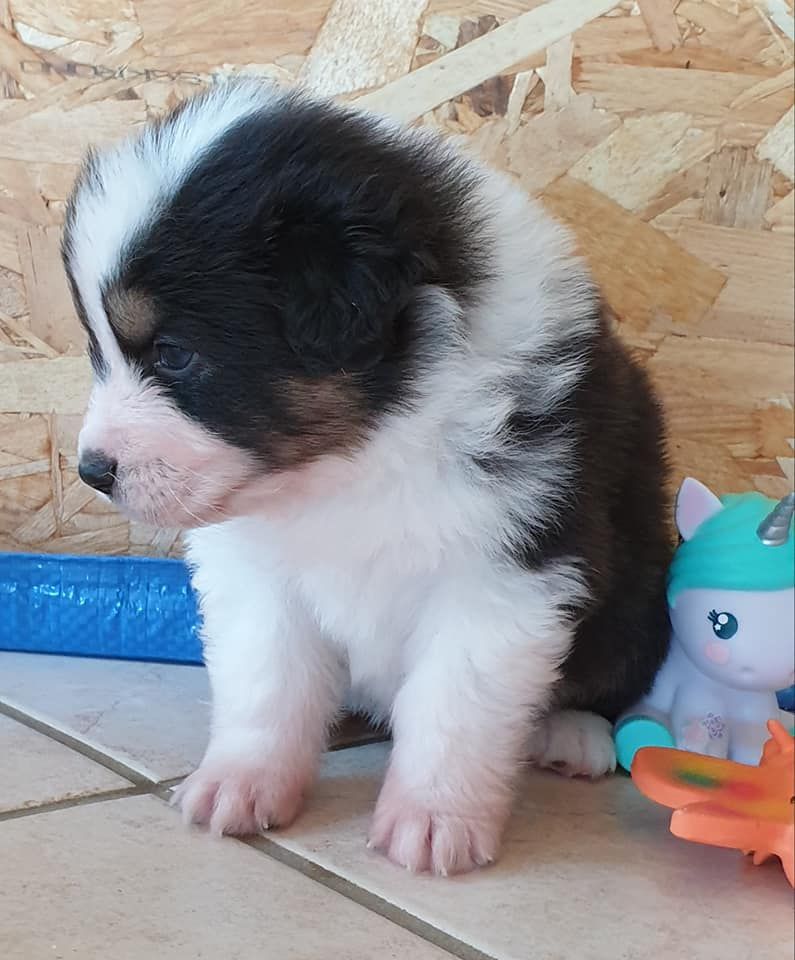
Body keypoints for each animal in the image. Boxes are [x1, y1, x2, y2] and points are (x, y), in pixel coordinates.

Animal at [62, 80, 671, 875]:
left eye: (174, 354)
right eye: (97, 350)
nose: (92, 472)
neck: (357, 453)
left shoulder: (504, 576)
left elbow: (453, 704)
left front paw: (433, 821)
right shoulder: (257, 575)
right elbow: (266, 684)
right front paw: (240, 784)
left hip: (635, 595)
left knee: (608, 674)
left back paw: (571, 735)